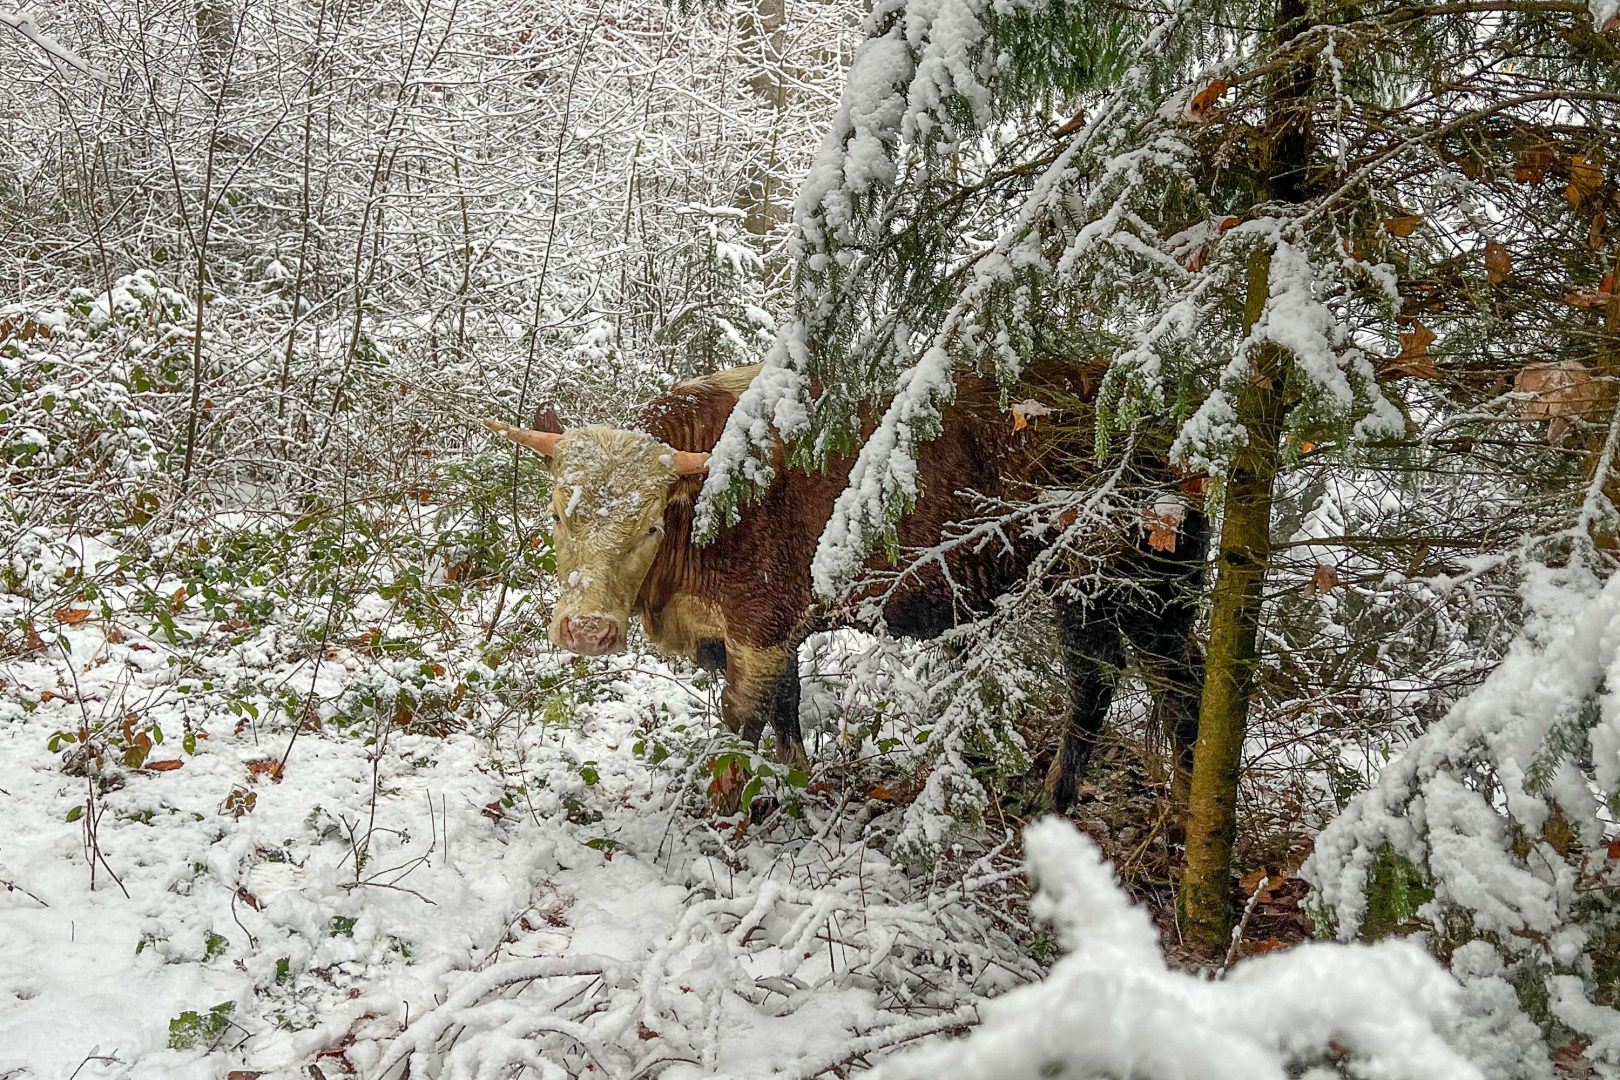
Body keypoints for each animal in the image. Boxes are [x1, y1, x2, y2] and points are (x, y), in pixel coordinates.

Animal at [484, 362, 1207, 810]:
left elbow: (741, 724)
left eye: (651, 524)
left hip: (1123, 589)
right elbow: (788, 709)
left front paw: (724, 805)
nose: (587, 628)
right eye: (557, 512)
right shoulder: (772, 633)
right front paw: (796, 781)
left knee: (1149, 683)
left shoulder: (760, 629)